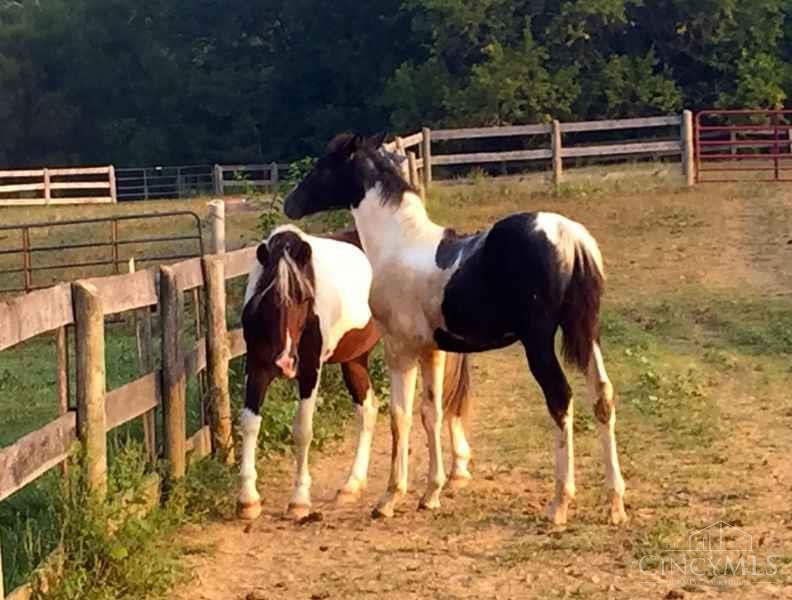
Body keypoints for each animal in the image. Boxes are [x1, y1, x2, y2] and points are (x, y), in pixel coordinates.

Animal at [238, 224, 471, 520]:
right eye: (268, 299)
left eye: (305, 299)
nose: (285, 363)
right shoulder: (256, 367)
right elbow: (249, 424)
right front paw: (247, 499)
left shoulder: (310, 370)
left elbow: (302, 430)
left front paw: (299, 501)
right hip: (355, 360)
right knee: (369, 410)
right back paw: (352, 484)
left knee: (448, 403)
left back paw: (457, 472)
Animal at [282, 133, 627, 526]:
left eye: (325, 166)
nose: (290, 203)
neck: (399, 243)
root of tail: (569, 235)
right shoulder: (432, 350)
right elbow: (432, 413)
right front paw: (431, 493)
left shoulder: (400, 349)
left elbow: (400, 417)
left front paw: (389, 498)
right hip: (587, 334)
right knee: (602, 396)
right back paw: (615, 503)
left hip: (538, 343)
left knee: (560, 399)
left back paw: (559, 504)